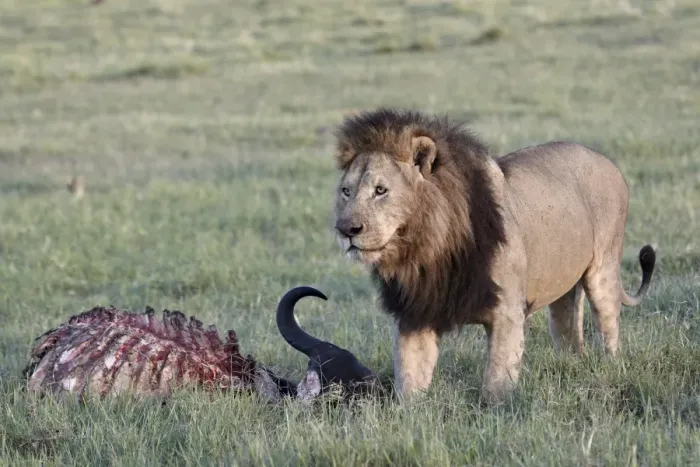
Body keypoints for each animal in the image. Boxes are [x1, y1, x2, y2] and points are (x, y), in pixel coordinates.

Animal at [331, 108, 656, 404]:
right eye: (346, 191)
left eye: (380, 190)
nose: (346, 230)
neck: (427, 251)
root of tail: (605, 160)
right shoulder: (416, 313)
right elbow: (410, 380)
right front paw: (409, 416)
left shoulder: (507, 311)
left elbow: (497, 382)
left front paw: (496, 414)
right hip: (563, 290)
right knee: (569, 332)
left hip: (603, 270)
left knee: (609, 327)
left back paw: (612, 368)